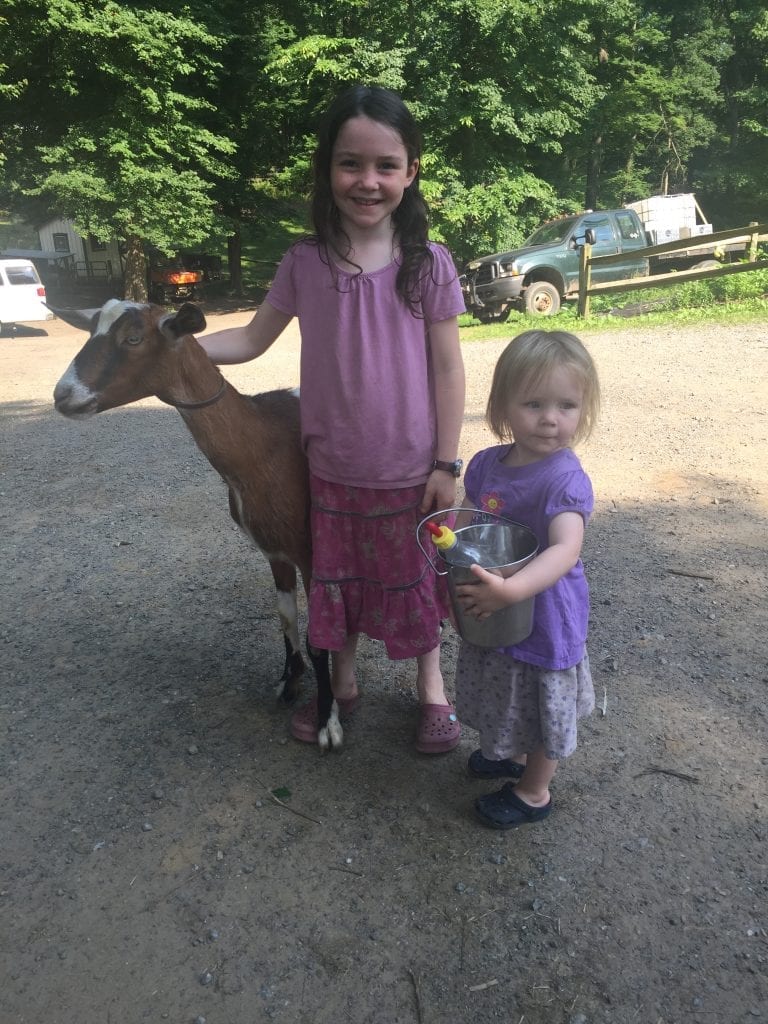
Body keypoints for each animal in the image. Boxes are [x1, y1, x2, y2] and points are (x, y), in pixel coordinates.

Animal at [52, 299, 342, 749]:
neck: (265, 446)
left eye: (133, 338)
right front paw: (289, 680)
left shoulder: (310, 549)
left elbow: (319, 639)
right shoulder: (273, 548)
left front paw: (328, 721)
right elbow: (286, 617)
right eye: (90, 332)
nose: (62, 395)